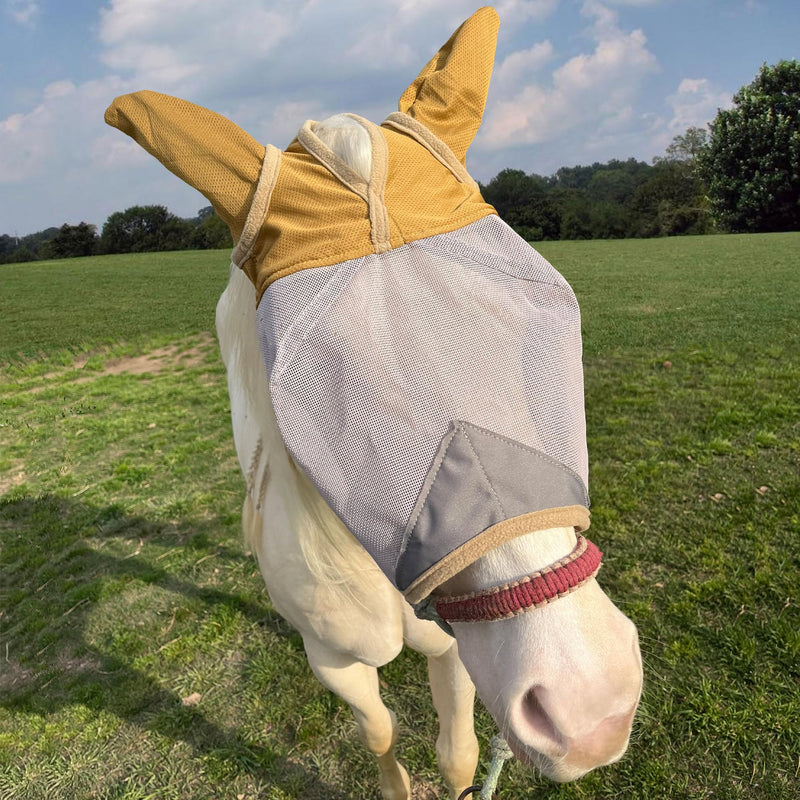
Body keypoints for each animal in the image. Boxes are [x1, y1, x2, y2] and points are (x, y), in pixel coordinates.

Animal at [105, 9, 643, 798]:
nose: (591, 706)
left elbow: (459, 754)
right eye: (315, 384)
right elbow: (379, 728)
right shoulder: (334, 661)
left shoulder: (455, 643)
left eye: (547, 315)